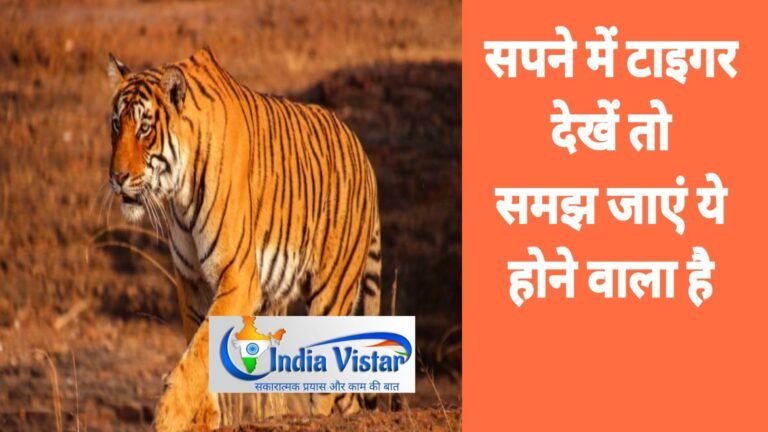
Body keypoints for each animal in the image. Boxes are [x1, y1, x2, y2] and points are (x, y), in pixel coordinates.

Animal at [106, 47, 382, 431]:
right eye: (117, 125)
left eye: (145, 128)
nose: (116, 177)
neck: (179, 193)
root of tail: (364, 154)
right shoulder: (190, 279)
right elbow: (197, 344)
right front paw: (204, 417)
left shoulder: (237, 276)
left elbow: (199, 349)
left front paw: (169, 414)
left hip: (332, 293)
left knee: (326, 391)